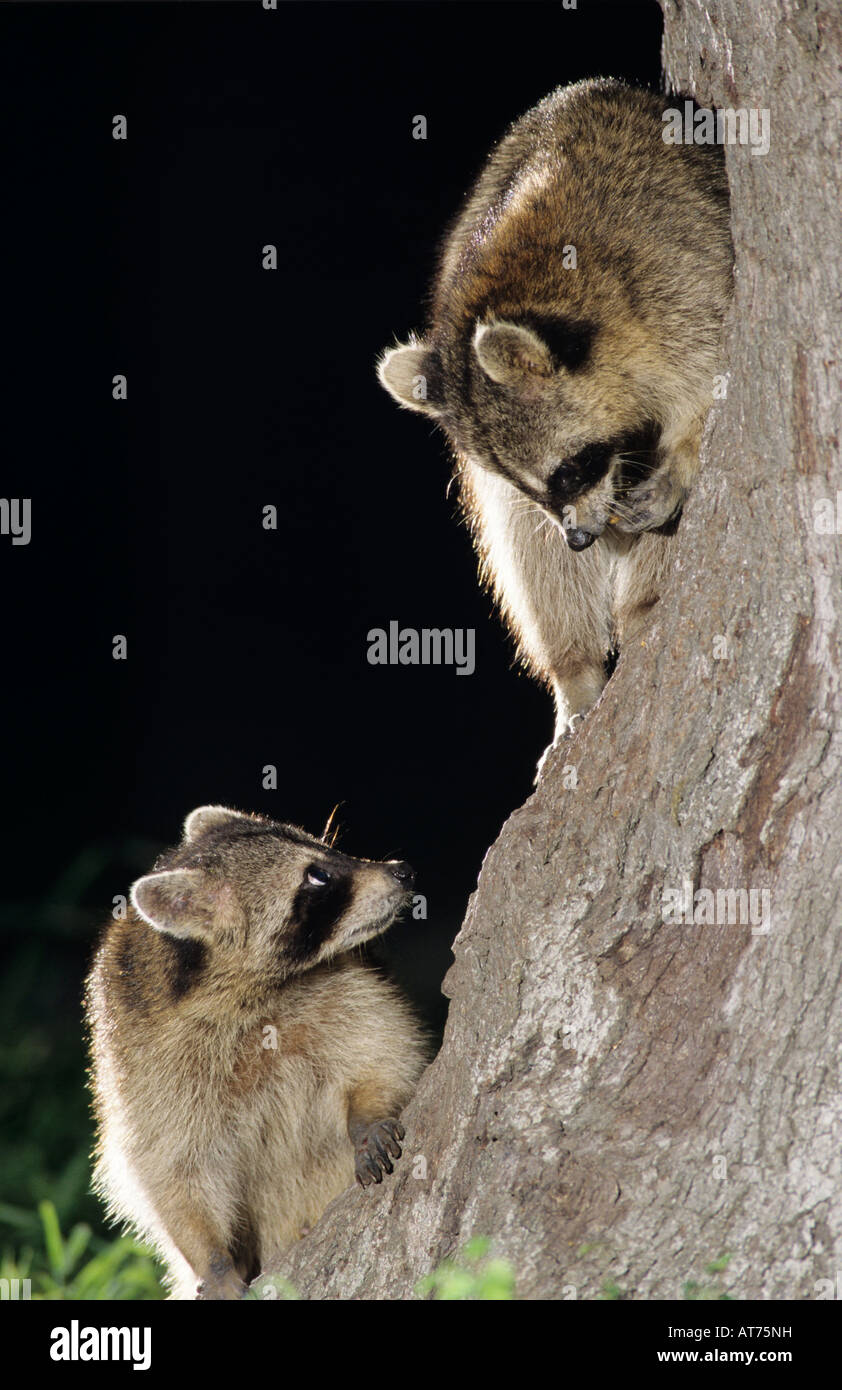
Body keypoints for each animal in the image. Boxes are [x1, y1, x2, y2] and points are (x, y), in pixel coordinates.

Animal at [85, 805, 427, 1300]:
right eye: (318, 877)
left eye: (326, 849)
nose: (403, 871)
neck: (245, 990)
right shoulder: (145, 1061)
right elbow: (169, 1167)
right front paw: (211, 1258)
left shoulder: (344, 985)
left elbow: (382, 1049)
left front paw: (368, 1113)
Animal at [378, 79, 733, 750]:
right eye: (542, 484)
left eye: (570, 470)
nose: (580, 539)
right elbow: (524, 529)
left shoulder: (688, 280)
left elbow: (712, 388)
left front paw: (681, 456)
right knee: (527, 552)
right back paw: (576, 668)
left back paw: (640, 610)